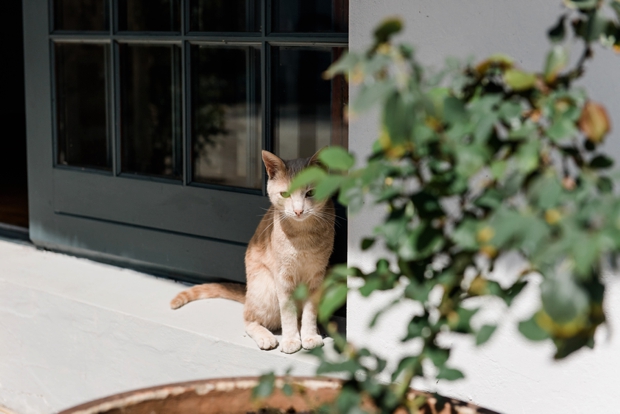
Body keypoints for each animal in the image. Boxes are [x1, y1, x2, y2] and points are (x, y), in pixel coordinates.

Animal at [170, 150, 334, 354]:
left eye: (310, 193)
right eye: (285, 194)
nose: (298, 211)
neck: (303, 235)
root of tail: (247, 293)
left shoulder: (317, 276)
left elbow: (310, 312)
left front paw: (310, 336)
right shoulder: (282, 277)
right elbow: (287, 312)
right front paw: (290, 340)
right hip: (266, 288)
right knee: (249, 319)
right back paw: (266, 337)